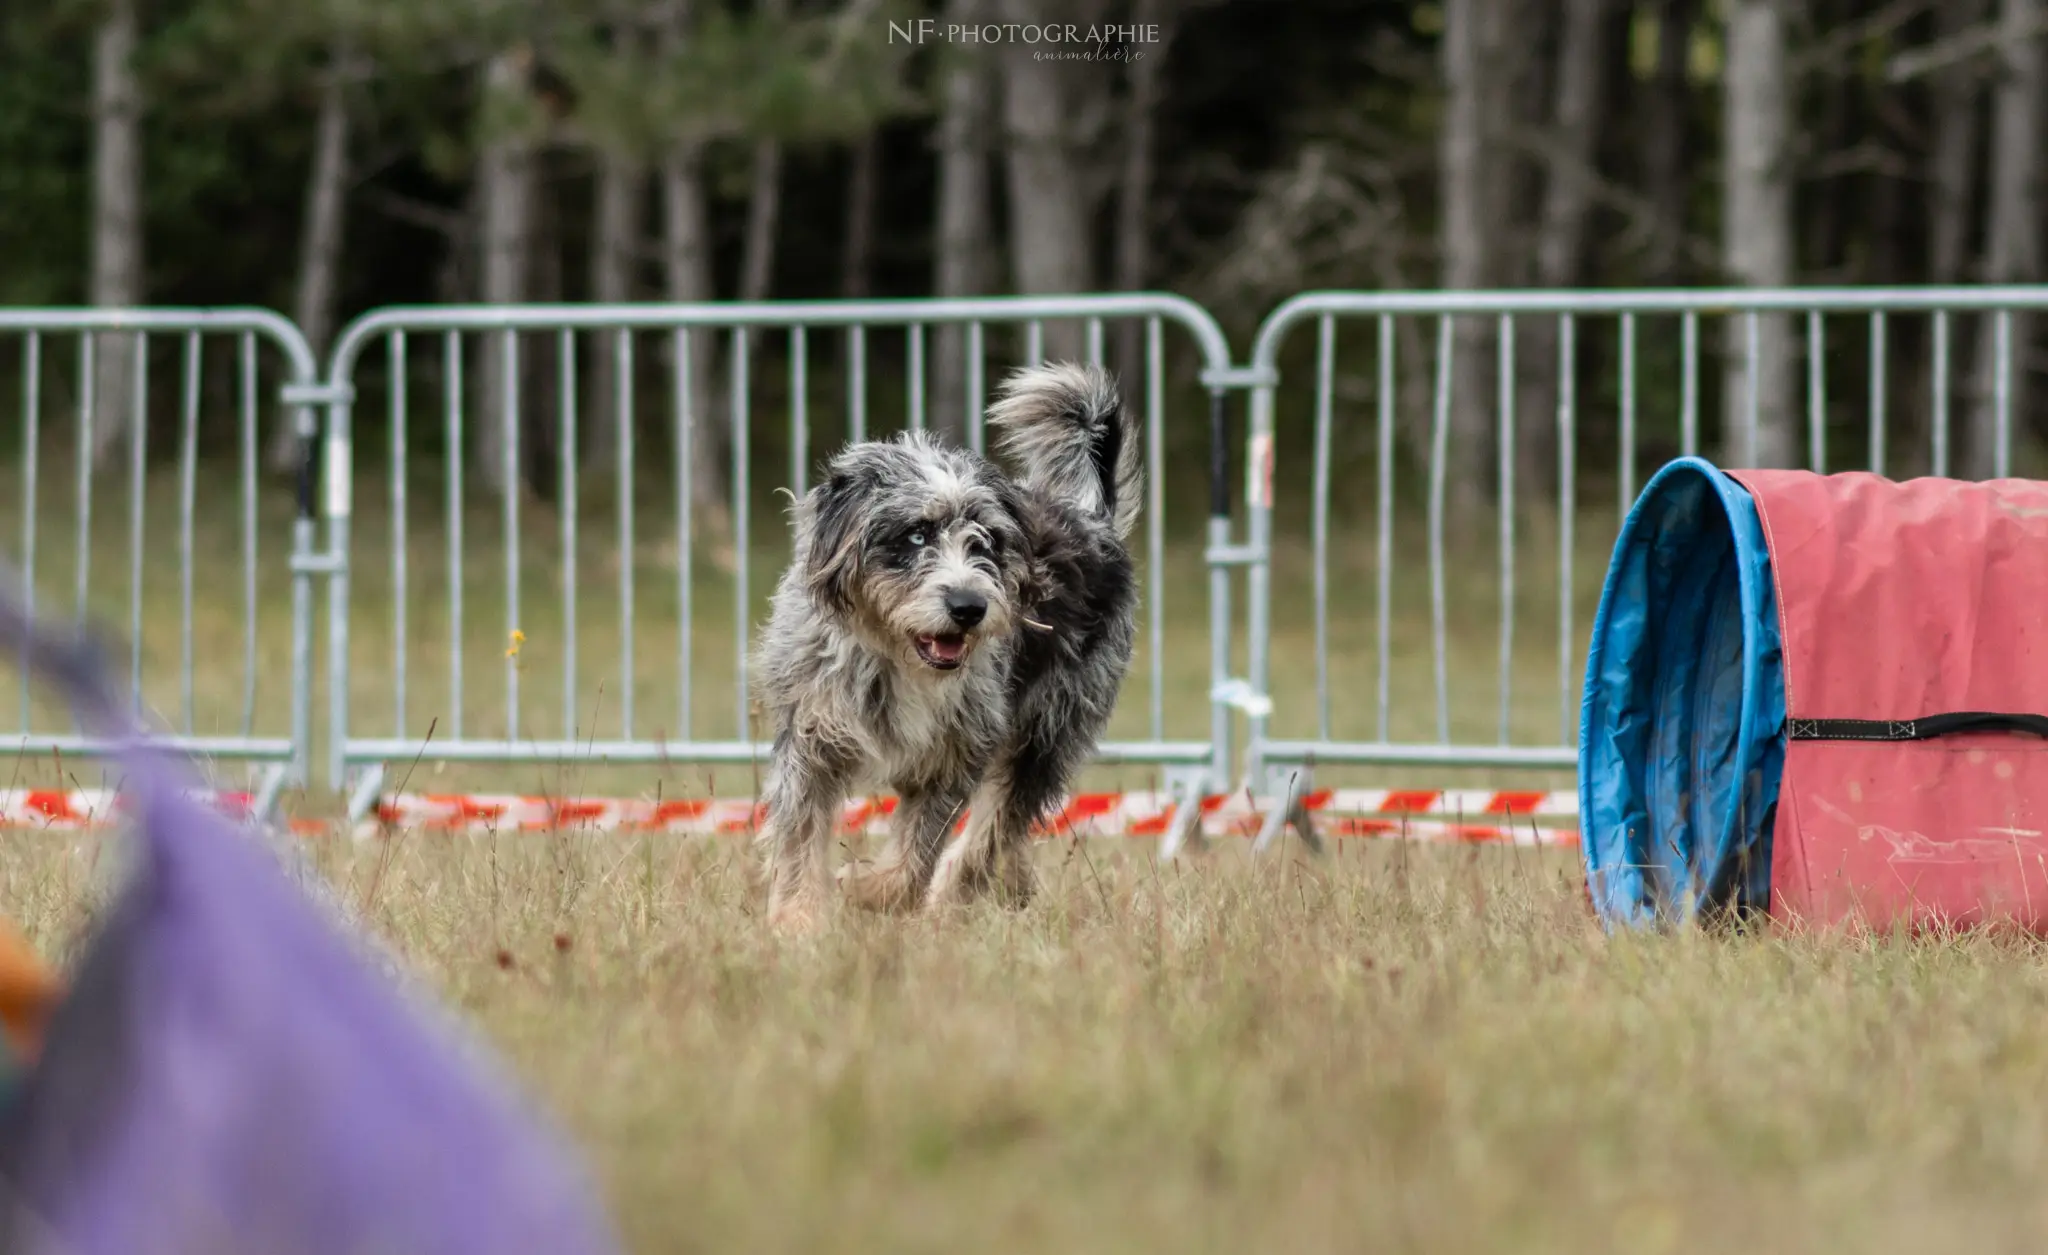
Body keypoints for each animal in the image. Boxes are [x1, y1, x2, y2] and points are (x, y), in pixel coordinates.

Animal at [753, 362, 1146, 929]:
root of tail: (1093, 516)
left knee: (995, 827)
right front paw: (798, 921)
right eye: (916, 535)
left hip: (1047, 734)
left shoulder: (959, 754)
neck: (896, 660)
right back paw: (1015, 886)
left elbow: (918, 852)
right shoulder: (813, 739)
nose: (968, 606)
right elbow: (800, 839)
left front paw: (867, 891)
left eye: (987, 539)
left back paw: (958, 898)